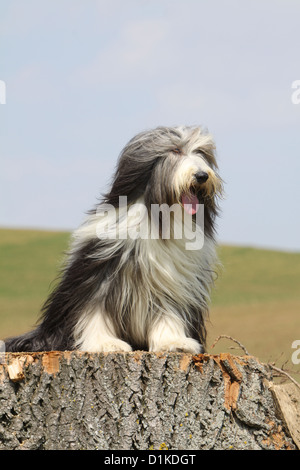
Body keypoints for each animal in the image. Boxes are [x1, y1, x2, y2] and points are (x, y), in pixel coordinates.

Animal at [4, 126, 223, 354]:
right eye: (176, 150)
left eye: (201, 153)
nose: (202, 175)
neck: (159, 216)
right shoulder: (101, 270)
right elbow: (94, 310)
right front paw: (105, 343)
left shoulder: (172, 278)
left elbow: (168, 311)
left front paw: (174, 342)